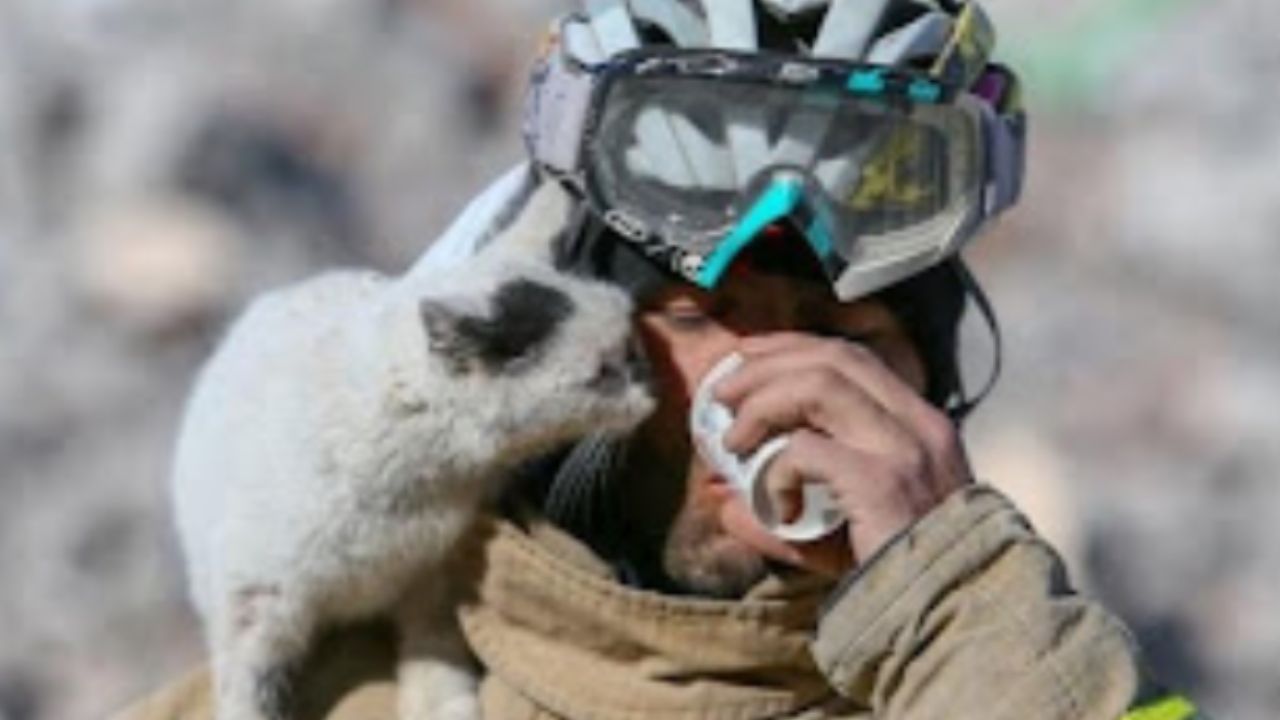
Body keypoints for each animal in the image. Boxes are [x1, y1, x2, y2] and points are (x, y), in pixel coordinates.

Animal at [170, 181, 650, 712]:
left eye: (634, 345)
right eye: (605, 373)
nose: (653, 389)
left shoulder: (430, 573)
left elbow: (435, 652)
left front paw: (449, 708)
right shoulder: (254, 599)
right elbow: (247, 691)